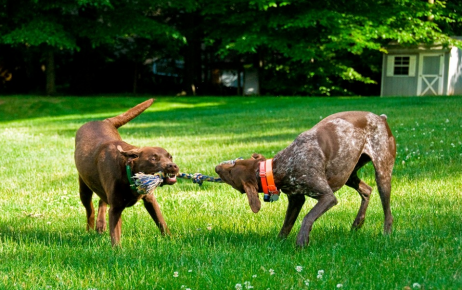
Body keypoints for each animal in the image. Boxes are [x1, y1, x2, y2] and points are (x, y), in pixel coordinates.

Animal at [74, 98, 179, 246]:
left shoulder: (150, 199)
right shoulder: (116, 208)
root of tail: (104, 120)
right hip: (84, 188)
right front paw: (117, 250)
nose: (173, 166)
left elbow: (161, 222)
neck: (128, 171)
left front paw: (171, 240)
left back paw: (100, 225)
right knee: (90, 209)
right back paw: (90, 230)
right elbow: (115, 234)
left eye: (170, 157)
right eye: (153, 158)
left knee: (102, 201)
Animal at [215, 111, 396, 247]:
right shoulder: (296, 200)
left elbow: (307, 217)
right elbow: (286, 225)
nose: (216, 168)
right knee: (367, 190)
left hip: (382, 173)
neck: (279, 167)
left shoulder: (327, 197)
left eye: (231, 170)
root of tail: (381, 118)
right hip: (347, 173)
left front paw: (302, 240)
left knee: (387, 212)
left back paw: (386, 234)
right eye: (234, 161)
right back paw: (358, 223)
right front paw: (278, 244)